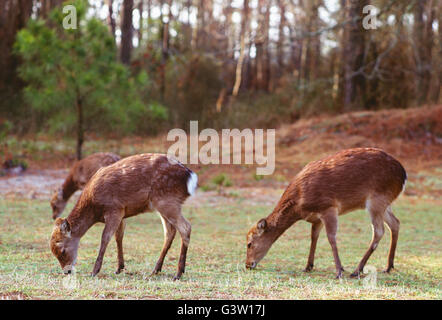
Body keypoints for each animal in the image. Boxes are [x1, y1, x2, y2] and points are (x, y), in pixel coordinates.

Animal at [48, 154, 199, 282]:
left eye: (62, 250)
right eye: (54, 253)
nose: (66, 271)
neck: (94, 209)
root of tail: (190, 176)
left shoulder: (114, 208)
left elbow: (105, 238)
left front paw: (94, 271)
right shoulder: (122, 213)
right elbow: (118, 237)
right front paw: (119, 268)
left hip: (167, 200)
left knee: (186, 227)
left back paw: (178, 273)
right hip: (162, 204)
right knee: (170, 232)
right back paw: (156, 269)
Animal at [247, 148, 406, 278]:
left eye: (249, 244)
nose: (248, 264)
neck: (299, 206)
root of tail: (404, 175)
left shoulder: (328, 207)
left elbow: (331, 238)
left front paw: (339, 271)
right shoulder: (316, 218)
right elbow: (313, 237)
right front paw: (308, 266)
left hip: (376, 200)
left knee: (379, 231)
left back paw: (357, 270)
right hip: (386, 203)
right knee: (395, 223)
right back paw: (388, 266)